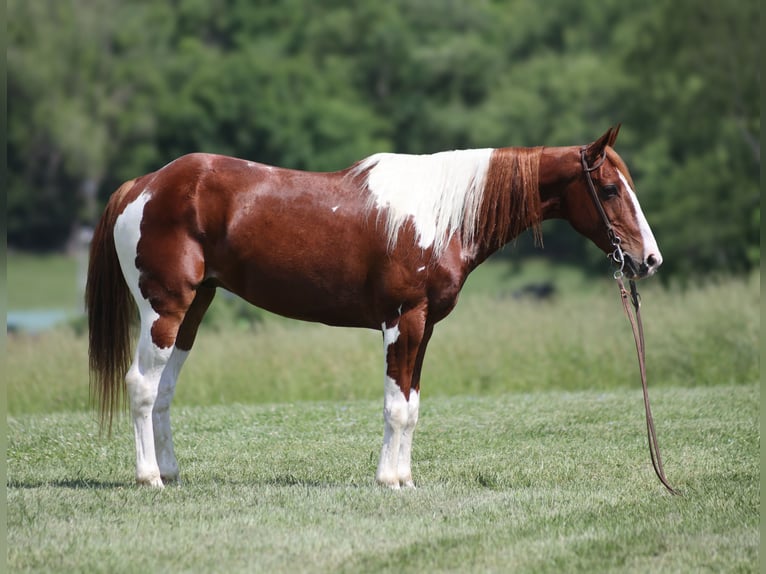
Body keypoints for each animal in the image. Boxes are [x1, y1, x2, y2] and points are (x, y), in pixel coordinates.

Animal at [86, 125, 662, 488]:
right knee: (141, 386)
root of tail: (143, 185)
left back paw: (171, 472)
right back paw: (149, 478)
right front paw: (389, 480)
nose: (649, 259)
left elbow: (412, 405)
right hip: (164, 309)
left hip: (192, 311)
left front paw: (404, 477)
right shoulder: (402, 322)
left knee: (163, 390)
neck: (440, 215)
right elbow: (395, 406)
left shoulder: (425, 327)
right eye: (610, 188)